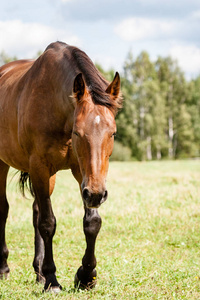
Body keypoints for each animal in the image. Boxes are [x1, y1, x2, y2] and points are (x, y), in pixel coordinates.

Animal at [0, 41, 122, 292]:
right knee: (4, 210)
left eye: (113, 133)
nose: (97, 194)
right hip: (3, 164)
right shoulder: (39, 167)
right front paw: (52, 280)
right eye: (78, 132)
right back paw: (4, 268)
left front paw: (86, 275)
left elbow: (91, 222)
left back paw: (38, 272)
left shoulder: (80, 172)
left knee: (36, 210)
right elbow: (48, 223)